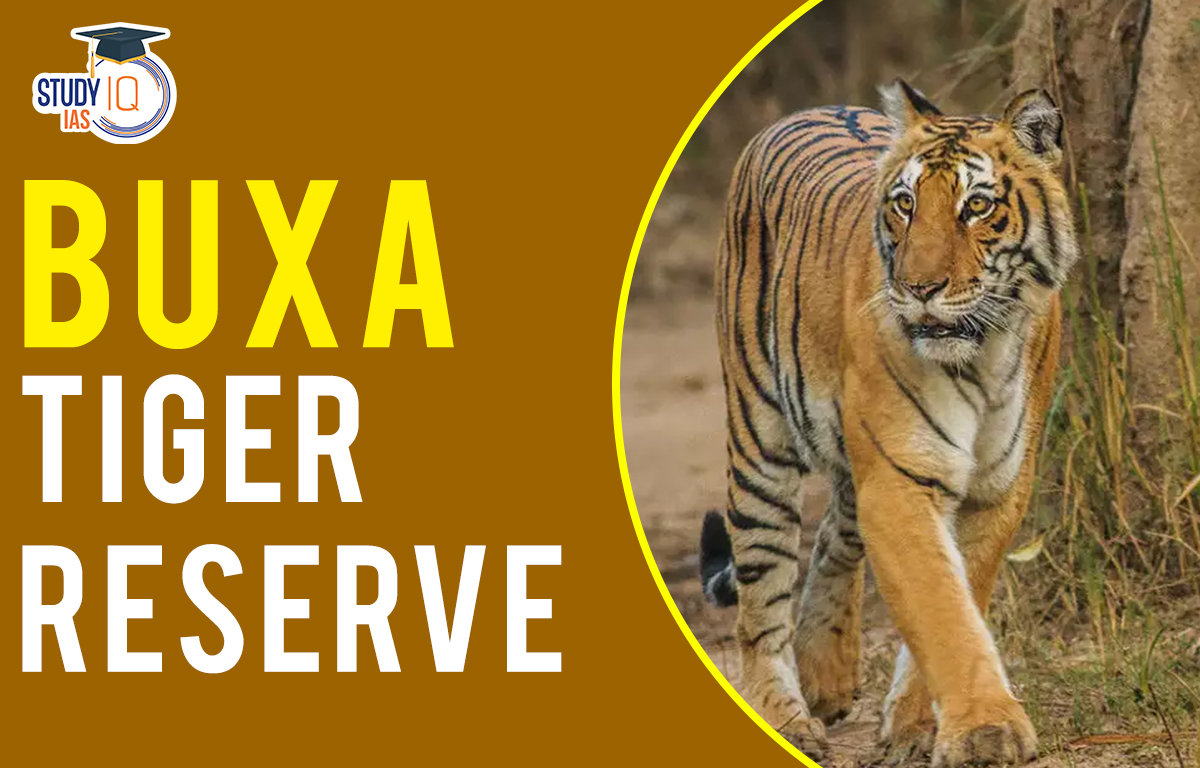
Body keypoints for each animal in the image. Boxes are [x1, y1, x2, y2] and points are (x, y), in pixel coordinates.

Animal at [697, 80, 1076, 767]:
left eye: (976, 206)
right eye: (905, 204)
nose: (919, 288)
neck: (982, 355)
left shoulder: (997, 487)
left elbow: (960, 597)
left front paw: (918, 726)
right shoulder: (901, 480)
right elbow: (941, 609)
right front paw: (985, 729)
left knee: (834, 535)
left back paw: (827, 674)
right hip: (759, 438)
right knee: (761, 598)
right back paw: (785, 716)